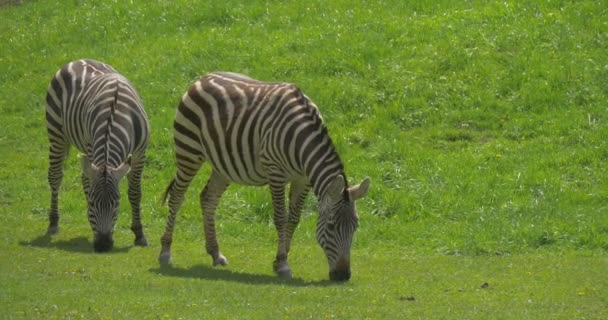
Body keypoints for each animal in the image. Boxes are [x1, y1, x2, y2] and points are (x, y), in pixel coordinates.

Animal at [45, 58, 150, 251]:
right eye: (93, 204)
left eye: (117, 203)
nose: (103, 245)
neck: (114, 117)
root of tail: (79, 59)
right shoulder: (92, 146)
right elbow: (89, 188)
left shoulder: (140, 152)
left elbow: (135, 192)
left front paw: (139, 234)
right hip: (56, 131)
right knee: (56, 176)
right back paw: (53, 223)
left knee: (83, 177)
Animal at [158, 72, 370, 280]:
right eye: (332, 226)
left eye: (355, 226)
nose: (343, 275)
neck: (302, 141)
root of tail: (202, 78)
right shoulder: (275, 173)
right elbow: (281, 217)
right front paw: (283, 264)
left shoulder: (303, 179)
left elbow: (294, 218)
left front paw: (280, 259)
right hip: (188, 150)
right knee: (177, 196)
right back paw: (166, 251)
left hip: (222, 166)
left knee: (208, 199)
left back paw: (216, 254)